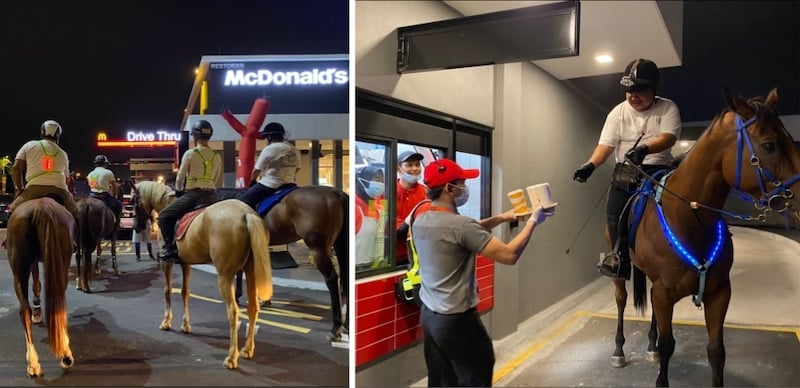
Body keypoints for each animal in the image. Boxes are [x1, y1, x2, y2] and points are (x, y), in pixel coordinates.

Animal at [5, 197, 75, 376]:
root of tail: (41, 207)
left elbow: (36, 283)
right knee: (57, 304)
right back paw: (63, 354)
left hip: (20, 270)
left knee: (24, 309)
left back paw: (34, 361)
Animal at [130, 182, 270, 370]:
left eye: (134, 201)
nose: (136, 227)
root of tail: (247, 214)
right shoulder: (185, 263)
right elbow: (185, 292)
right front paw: (185, 325)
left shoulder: (167, 262)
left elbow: (168, 291)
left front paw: (166, 322)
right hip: (250, 271)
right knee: (253, 307)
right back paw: (247, 349)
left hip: (225, 276)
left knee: (233, 311)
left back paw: (231, 357)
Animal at [608, 88, 800, 388]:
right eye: (769, 145)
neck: (689, 218)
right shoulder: (664, 293)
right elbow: (667, 345)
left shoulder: (718, 292)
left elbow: (716, 351)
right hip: (619, 270)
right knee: (620, 299)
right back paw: (619, 350)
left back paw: (649, 346)